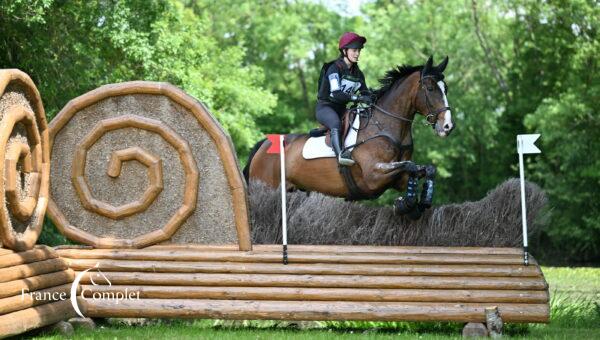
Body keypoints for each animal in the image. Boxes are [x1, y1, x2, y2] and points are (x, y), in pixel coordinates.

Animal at [241, 55, 452, 218]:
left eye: (446, 89)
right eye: (431, 88)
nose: (448, 126)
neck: (386, 127)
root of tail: (263, 145)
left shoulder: (396, 178)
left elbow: (424, 169)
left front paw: (417, 202)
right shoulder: (373, 175)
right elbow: (410, 166)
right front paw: (406, 204)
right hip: (268, 189)